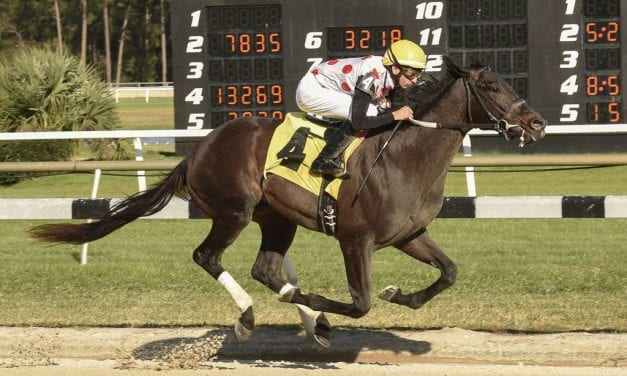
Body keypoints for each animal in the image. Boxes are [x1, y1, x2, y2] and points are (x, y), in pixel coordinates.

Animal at [31, 57, 548, 348]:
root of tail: (197, 149)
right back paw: (251, 316)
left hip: (277, 218)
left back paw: (309, 319)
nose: (537, 123)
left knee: (266, 269)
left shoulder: (410, 234)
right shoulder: (355, 239)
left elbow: (448, 273)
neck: (403, 155)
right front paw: (326, 304)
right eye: (493, 86)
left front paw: (397, 295)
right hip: (235, 209)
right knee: (207, 256)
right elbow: (360, 303)